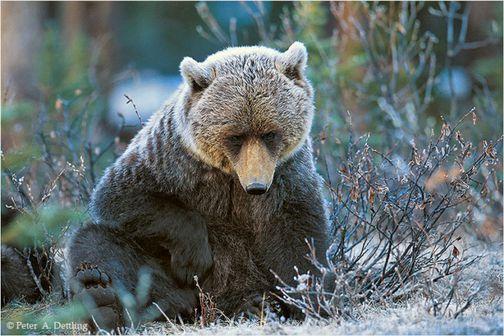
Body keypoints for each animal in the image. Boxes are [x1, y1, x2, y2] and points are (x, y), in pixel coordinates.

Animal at [65, 42, 328, 330]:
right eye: (236, 136)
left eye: (269, 133)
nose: (256, 186)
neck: (230, 175)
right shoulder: (174, 158)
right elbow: (122, 196)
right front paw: (194, 258)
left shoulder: (287, 176)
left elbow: (298, 238)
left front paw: (310, 301)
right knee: (98, 244)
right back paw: (104, 296)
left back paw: (255, 305)